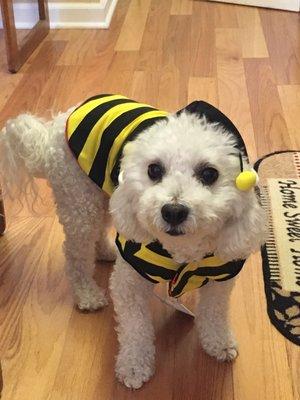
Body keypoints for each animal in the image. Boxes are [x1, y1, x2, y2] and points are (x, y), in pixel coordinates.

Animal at [0, 95, 264, 390]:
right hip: (79, 199)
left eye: (209, 174)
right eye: (154, 169)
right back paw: (87, 294)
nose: (173, 211)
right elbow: (136, 328)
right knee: (76, 254)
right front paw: (134, 366)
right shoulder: (130, 282)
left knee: (101, 228)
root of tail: (57, 123)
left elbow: (214, 313)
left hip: (100, 193)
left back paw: (106, 251)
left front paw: (218, 343)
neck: (181, 252)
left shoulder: (220, 276)